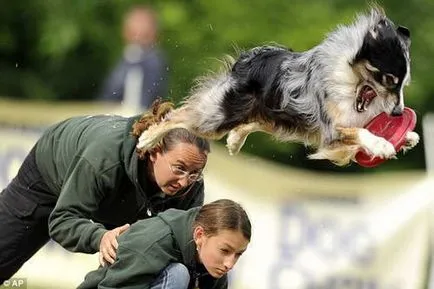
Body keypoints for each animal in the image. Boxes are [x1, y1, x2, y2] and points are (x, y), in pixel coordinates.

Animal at [137, 6, 418, 164]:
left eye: (404, 83)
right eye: (389, 79)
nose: (398, 114)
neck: (353, 83)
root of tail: (251, 58)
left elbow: (367, 129)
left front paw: (407, 137)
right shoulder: (331, 130)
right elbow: (361, 132)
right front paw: (381, 145)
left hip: (276, 114)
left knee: (255, 122)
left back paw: (235, 140)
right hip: (218, 117)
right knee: (179, 115)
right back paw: (147, 139)